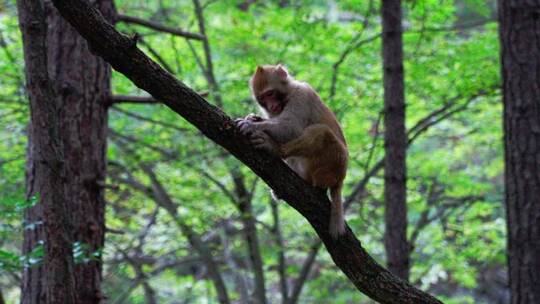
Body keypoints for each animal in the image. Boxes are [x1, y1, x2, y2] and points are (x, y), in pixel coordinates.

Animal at [237, 64, 350, 239]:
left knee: (320, 132)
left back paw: (275, 149)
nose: (271, 106)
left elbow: (292, 128)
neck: (288, 94)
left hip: (334, 163)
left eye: (270, 93)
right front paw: (254, 118)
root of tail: (340, 180)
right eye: (262, 99)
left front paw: (252, 125)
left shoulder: (302, 95)